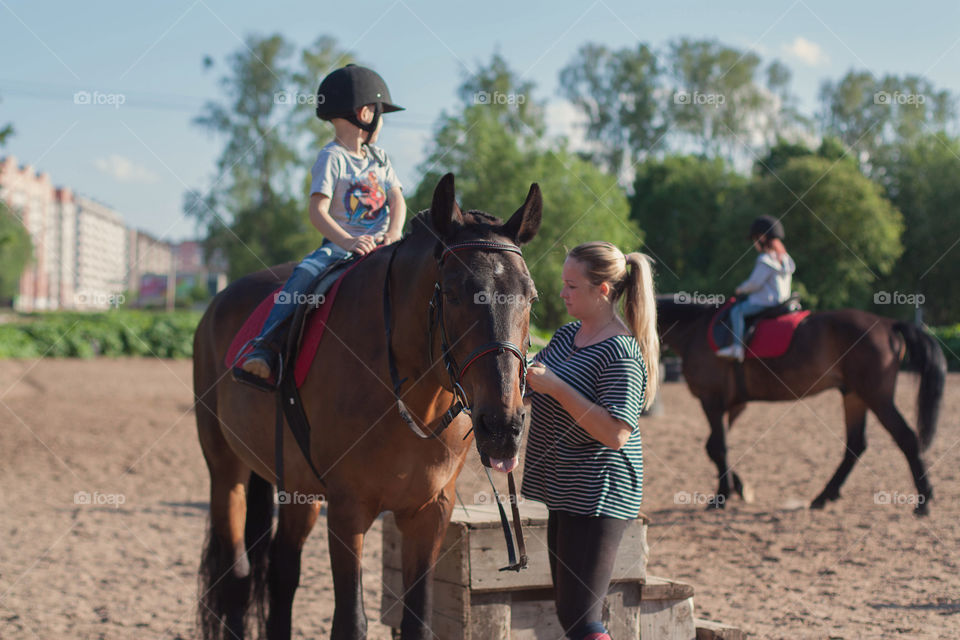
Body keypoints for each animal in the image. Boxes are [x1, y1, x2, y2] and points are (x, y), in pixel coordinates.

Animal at [193, 172, 540, 636]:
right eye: (451, 293)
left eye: (531, 297)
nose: (502, 426)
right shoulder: (347, 510)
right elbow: (350, 622)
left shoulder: (430, 512)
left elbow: (417, 621)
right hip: (226, 470)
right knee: (237, 574)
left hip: (298, 488)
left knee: (282, 570)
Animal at [660, 298, 944, 516]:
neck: (692, 329)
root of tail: (888, 324)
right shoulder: (733, 405)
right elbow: (714, 447)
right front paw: (738, 488)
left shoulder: (711, 400)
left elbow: (718, 448)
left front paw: (722, 496)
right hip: (854, 396)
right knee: (856, 445)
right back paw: (824, 496)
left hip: (876, 396)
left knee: (906, 437)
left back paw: (923, 501)